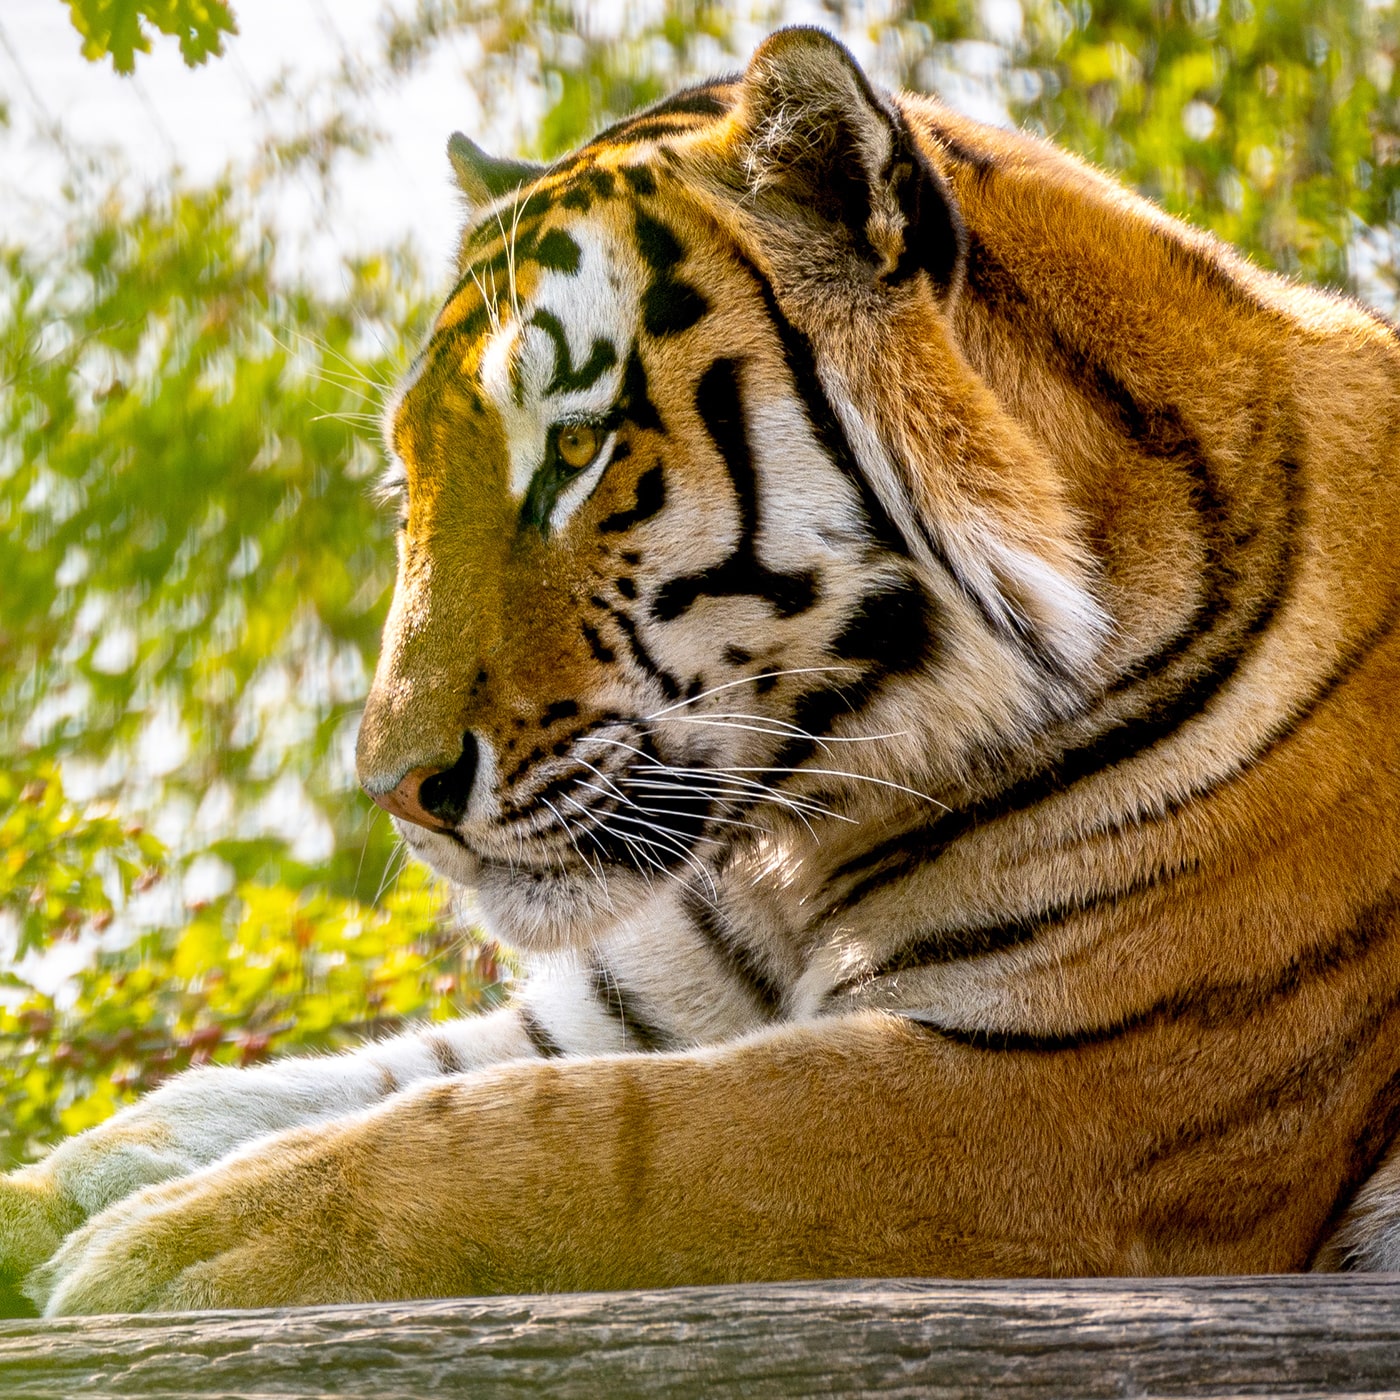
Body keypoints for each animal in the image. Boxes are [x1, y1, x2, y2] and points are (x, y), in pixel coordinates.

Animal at [8, 21, 1400, 1310]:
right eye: (410, 480)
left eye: (575, 450)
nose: (395, 792)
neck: (806, 836)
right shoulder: (627, 1008)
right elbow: (246, 1097)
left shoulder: (1068, 1084)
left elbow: (589, 1132)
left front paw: (168, 1248)